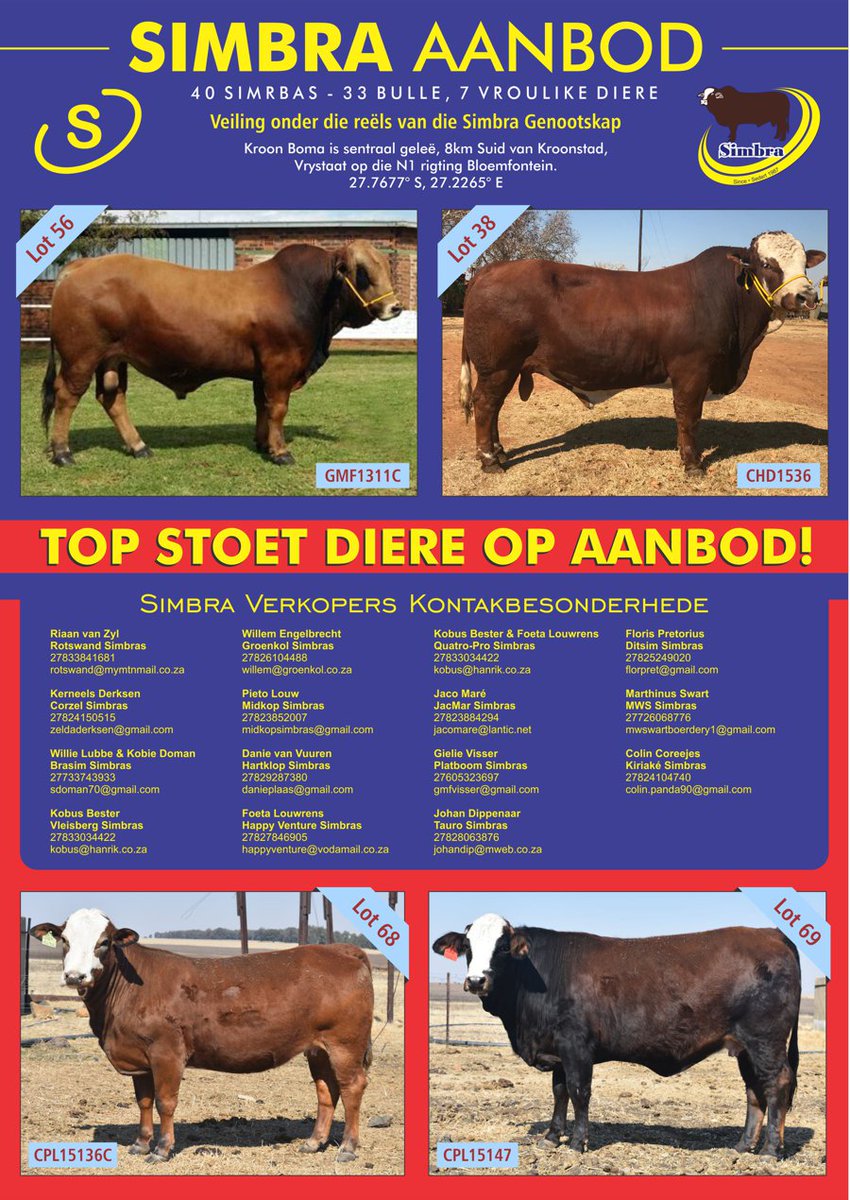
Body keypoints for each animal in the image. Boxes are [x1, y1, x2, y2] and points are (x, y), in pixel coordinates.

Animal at [30, 909, 375, 1162]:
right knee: (326, 1089)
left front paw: (161, 1149)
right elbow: (143, 1101)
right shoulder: (139, 1057)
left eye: (103, 942)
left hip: (345, 1044)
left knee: (352, 1087)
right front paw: (140, 1144)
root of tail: (339, 949)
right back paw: (313, 1142)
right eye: (64, 939)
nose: (75, 976)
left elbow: (165, 1102)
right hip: (318, 1048)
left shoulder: (167, 1052)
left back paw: (347, 1148)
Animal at [41, 240, 402, 467]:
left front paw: (263, 443)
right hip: (81, 357)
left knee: (112, 398)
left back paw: (139, 446)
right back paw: (62, 453)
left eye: (386, 267)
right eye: (361, 272)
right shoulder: (280, 365)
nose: (395, 307)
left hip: (112, 360)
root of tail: (79, 266)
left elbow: (262, 405)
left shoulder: (262, 370)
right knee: (66, 397)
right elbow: (278, 408)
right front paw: (281, 451)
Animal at [433, 914, 801, 1158]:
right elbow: (559, 1092)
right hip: (744, 1047)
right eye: (467, 946)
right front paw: (552, 1137)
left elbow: (579, 1092)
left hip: (765, 1040)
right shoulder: (558, 1050)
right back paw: (741, 1146)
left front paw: (577, 1143)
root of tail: (770, 933)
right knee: (754, 1091)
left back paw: (770, 1150)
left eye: (503, 947)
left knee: (777, 1084)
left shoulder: (577, 1046)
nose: (476, 981)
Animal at [458, 231, 825, 476]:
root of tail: (490, 270)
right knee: (486, 405)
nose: (807, 297)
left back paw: (500, 453)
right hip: (498, 367)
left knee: (492, 408)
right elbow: (689, 417)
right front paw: (692, 464)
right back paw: (490, 462)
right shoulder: (692, 369)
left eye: (805, 264)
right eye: (766, 263)